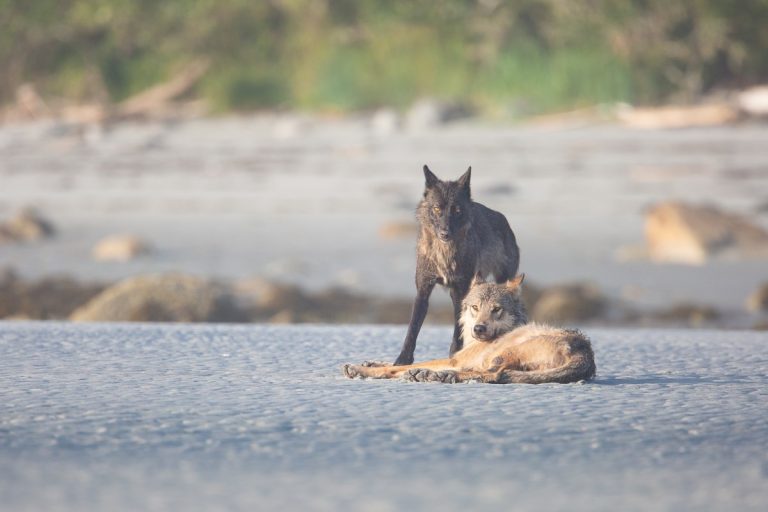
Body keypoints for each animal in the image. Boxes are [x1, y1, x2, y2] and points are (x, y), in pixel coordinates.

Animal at [343, 275, 596, 384]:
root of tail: (585, 353)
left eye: (496, 309)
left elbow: (397, 367)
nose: (479, 328)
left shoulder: (455, 359)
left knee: (494, 375)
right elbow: (395, 364)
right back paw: (433, 375)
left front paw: (360, 370)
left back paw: (436, 375)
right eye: (475, 307)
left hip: (504, 354)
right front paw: (371, 363)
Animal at [394, 165, 520, 365]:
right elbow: (413, 327)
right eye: (437, 208)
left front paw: (456, 353)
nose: (445, 233)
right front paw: (403, 359)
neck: (444, 253)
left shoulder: (462, 290)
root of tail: (503, 219)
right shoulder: (423, 290)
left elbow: (458, 326)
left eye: (457, 210)